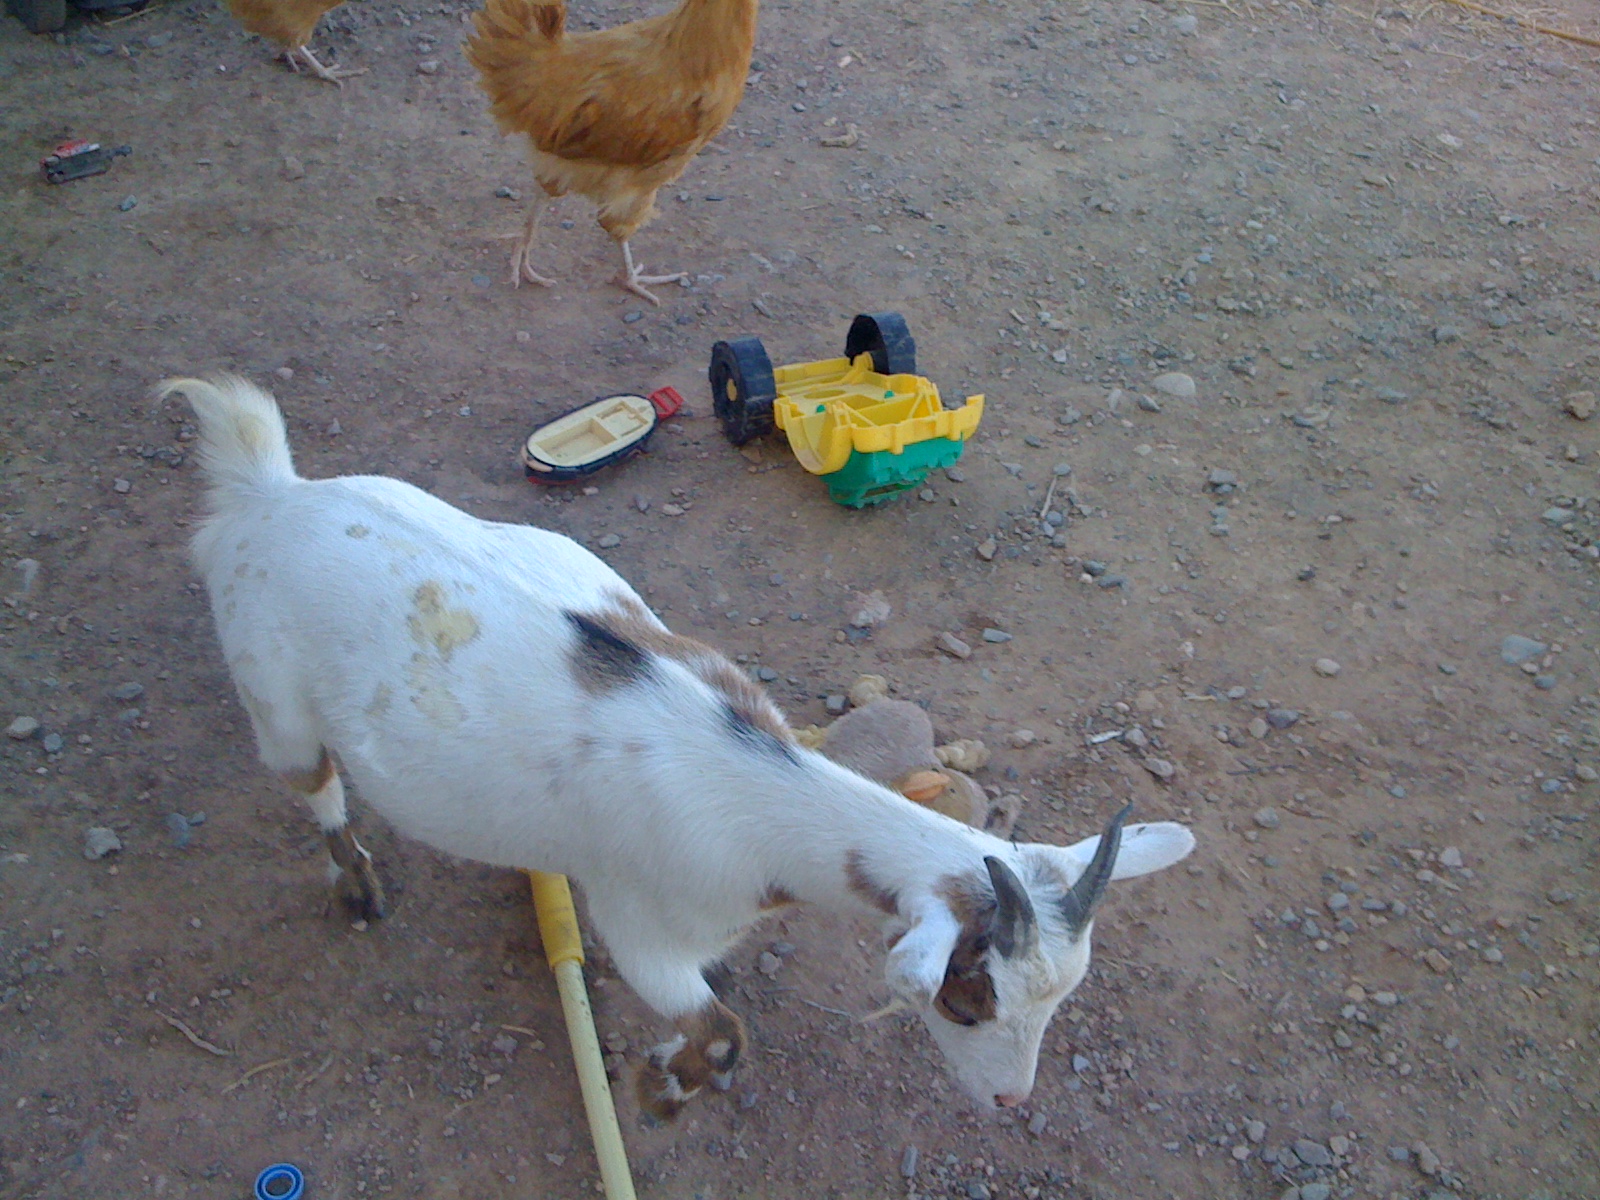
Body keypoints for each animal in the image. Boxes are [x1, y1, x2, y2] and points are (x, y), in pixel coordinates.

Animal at [162, 374, 1196, 1120]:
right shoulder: (646, 930)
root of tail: (266, 495)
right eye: (965, 1001)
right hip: (274, 700)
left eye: (1059, 1002)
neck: (761, 790)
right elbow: (726, 1031)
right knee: (316, 789)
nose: (1013, 1100)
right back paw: (359, 889)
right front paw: (660, 1087)